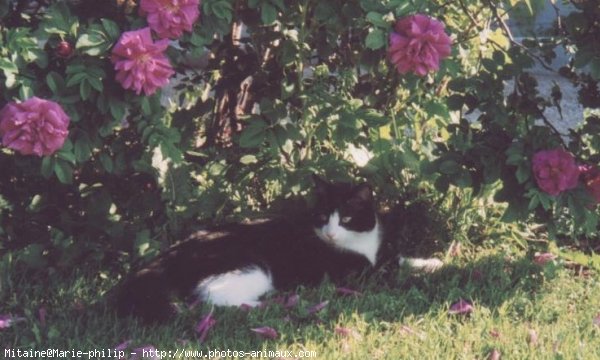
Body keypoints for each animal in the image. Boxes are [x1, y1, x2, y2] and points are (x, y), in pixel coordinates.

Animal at [116, 176, 440, 322]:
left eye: (346, 218)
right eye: (323, 216)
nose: (331, 232)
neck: (360, 245)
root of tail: (163, 260)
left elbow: (398, 260)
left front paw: (434, 263)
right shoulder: (355, 274)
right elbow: (387, 273)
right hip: (251, 267)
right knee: (210, 297)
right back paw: (272, 302)